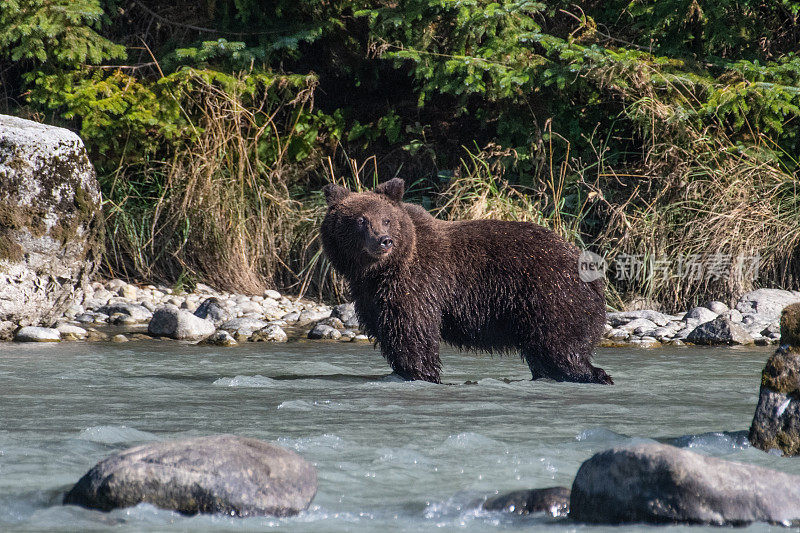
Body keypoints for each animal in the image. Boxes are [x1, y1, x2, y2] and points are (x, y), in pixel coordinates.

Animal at [320, 178, 612, 382]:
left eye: (386, 219)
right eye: (360, 220)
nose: (384, 240)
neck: (379, 270)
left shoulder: (417, 283)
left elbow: (412, 333)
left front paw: (422, 374)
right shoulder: (372, 295)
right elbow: (389, 331)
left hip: (552, 296)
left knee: (562, 348)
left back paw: (595, 375)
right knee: (546, 355)